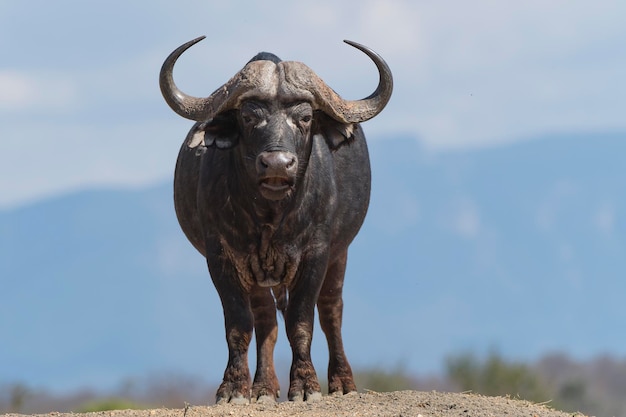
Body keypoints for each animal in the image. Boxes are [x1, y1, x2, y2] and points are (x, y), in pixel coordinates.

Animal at [158, 36, 390, 404]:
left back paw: (342, 381)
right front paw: (233, 388)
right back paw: (264, 387)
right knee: (266, 319)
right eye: (248, 116)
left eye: (306, 117)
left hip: (340, 254)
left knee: (331, 311)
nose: (278, 164)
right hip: (257, 275)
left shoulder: (317, 253)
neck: (270, 216)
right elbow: (239, 323)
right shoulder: (221, 256)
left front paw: (307, 386)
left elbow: (302, 321)